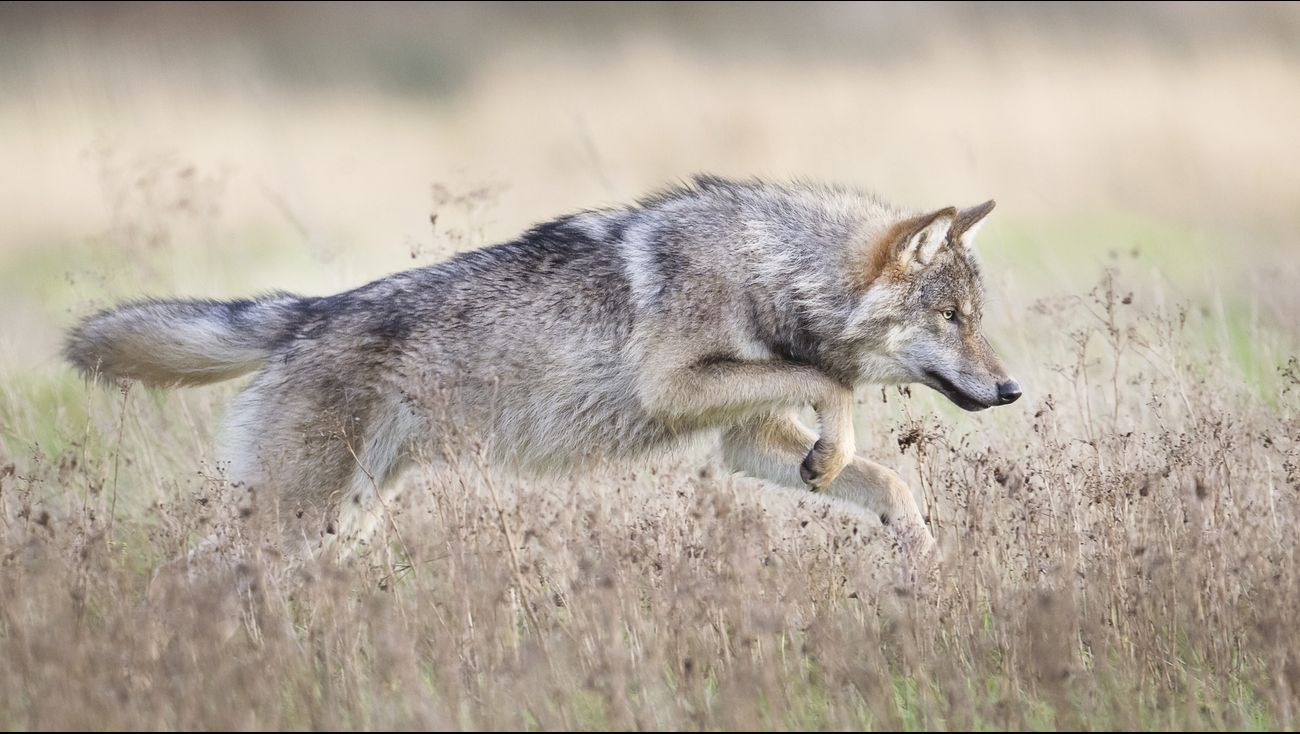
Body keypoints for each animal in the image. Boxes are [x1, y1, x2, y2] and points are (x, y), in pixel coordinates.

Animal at [66, 176, 1021, 560]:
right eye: (953, 320)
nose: (1012, 389)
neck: (775, 269)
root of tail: (305, 312)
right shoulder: (675, 384)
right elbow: (828, 383)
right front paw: (836, 445)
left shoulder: (743, 442)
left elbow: (888, 481)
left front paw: (920, 555)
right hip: (299, 519)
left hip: (342, 521)